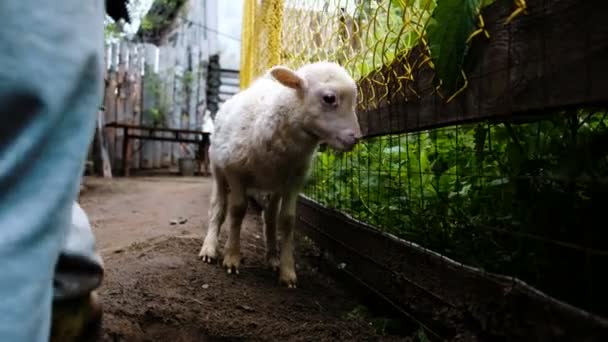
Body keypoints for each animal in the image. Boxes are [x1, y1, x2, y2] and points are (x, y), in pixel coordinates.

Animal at [198, 62, 360, 288]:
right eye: (329, 98)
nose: (356, 138)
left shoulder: (294, 181)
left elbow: (288, 220)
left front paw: (287, 270)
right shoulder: (235, 171)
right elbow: (237, 210)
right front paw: (231, 257)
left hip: (274, 185)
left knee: (270, 217)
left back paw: (272, 257)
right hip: (218, 168)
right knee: (218, 208)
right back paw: (209, 248)